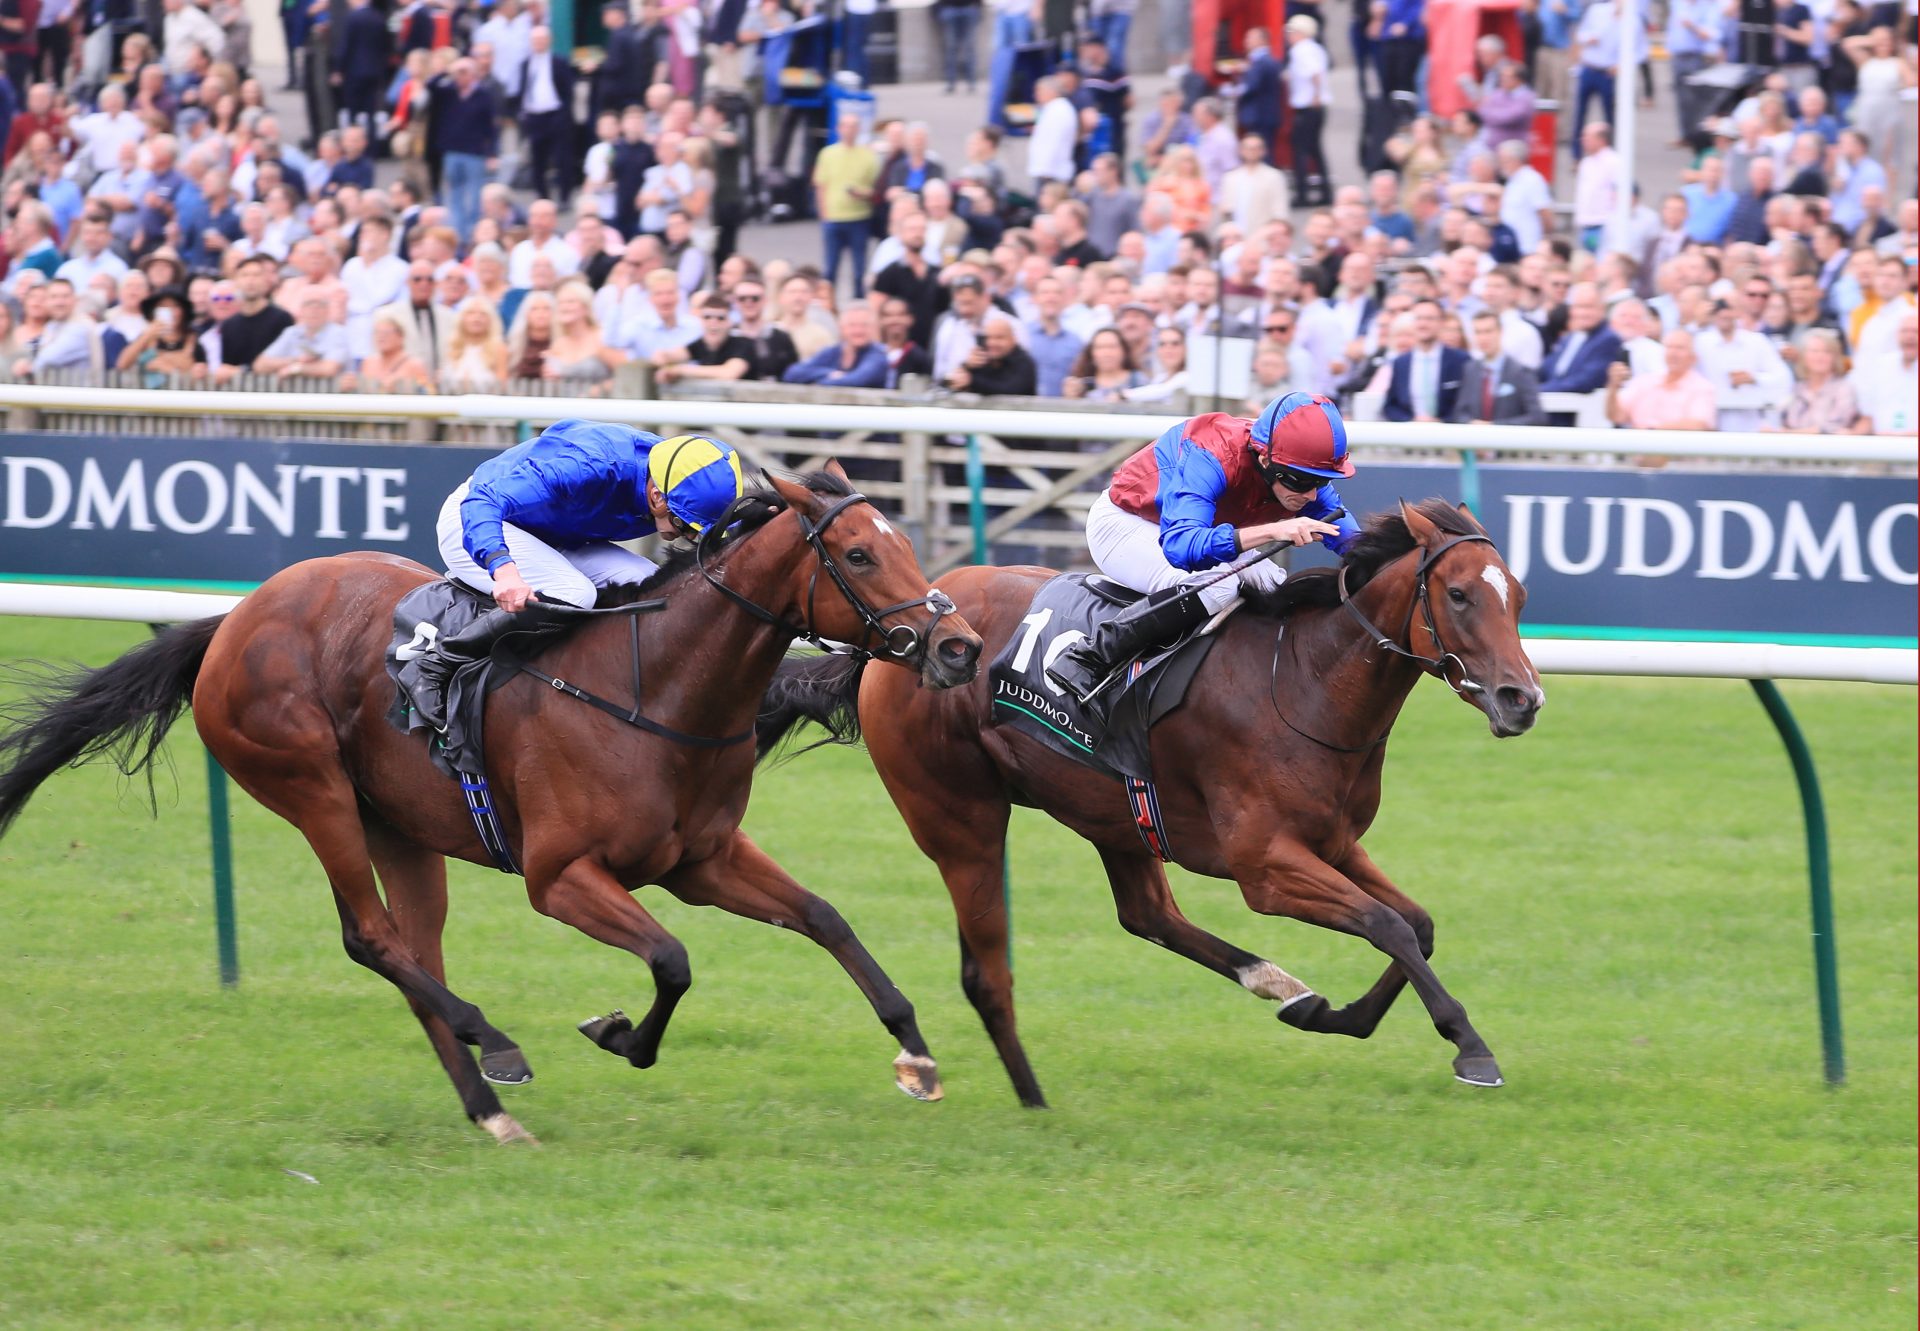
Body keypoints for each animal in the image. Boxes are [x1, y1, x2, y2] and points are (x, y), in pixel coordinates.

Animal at [0, 466, 983, 1144]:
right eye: (859, 553)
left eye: (904, 544)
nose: (961, 646)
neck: (654, 687)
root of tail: (231, 622)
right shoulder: (561, 876)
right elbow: (672, 960)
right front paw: (619, 1033)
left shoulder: (703, 858)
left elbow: (824, 917)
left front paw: (917, 1053)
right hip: (310, 785)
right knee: (371, 938)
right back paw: (496, 1041)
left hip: (399, 826)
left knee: (413, 950)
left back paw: (486, 1107)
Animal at [756, 499, 1551, 1098]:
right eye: (1457, 595)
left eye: (1517, 595)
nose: (1523, 700)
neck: (1304, 680)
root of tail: (903, 639)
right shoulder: (1265, 866)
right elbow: (1386, 925)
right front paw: (1470, 1046)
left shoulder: (1330, 842)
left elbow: (1417, 924)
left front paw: (1341, 1014)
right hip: (959, 814)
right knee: (991, 968)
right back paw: (1031, 1096)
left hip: (1114, 810)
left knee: (1148, 914)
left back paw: (1280, 986)